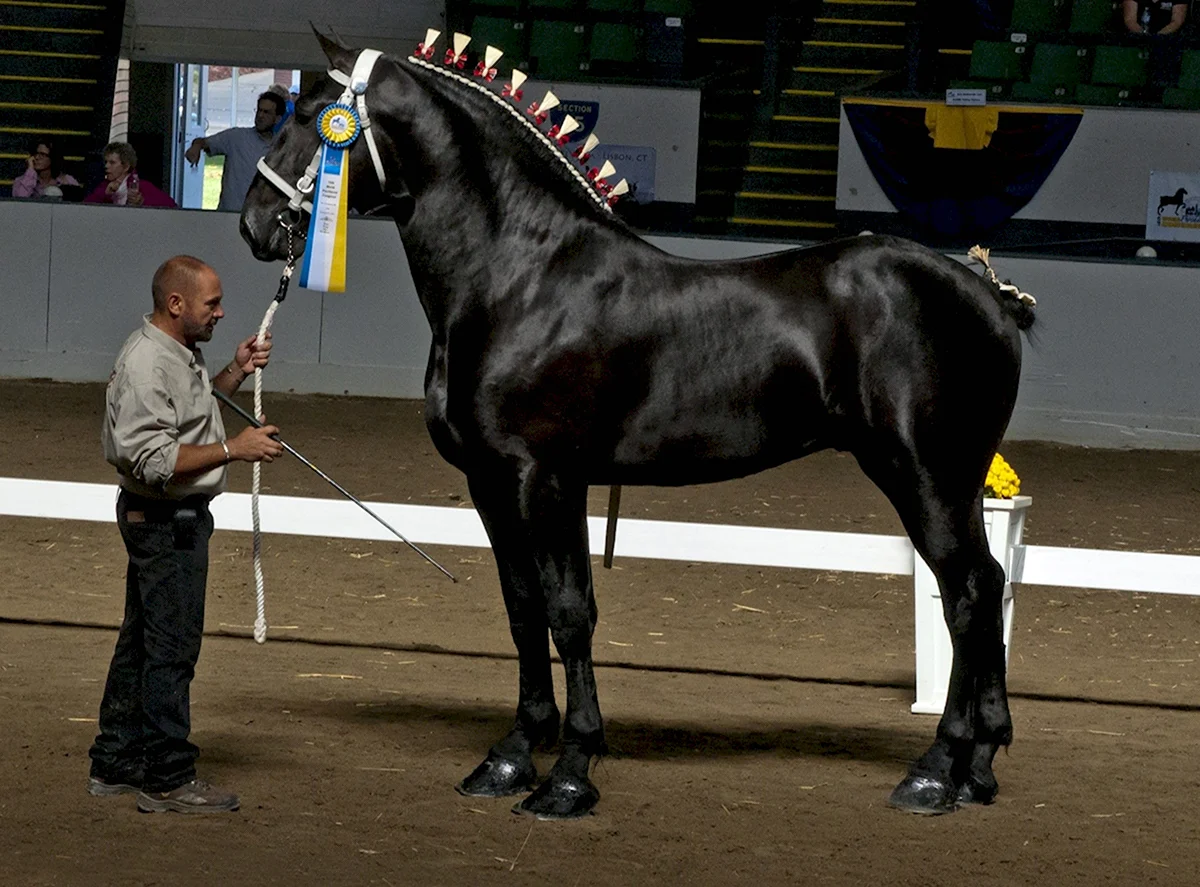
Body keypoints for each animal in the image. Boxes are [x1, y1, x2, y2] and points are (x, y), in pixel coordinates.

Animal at [238, 31, 1036, 820]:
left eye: (309, 115)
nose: (252, 223)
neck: (520, 279)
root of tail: (990, 296)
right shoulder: (491, 483)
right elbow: (523, 610)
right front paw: (510, 757)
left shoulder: (547, 480)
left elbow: (569, 612)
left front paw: (569, 774)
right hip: (956, 483)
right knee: (985, 586)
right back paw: (979, 765)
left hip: (926, 476)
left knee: (967, 593)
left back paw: (936, 771)